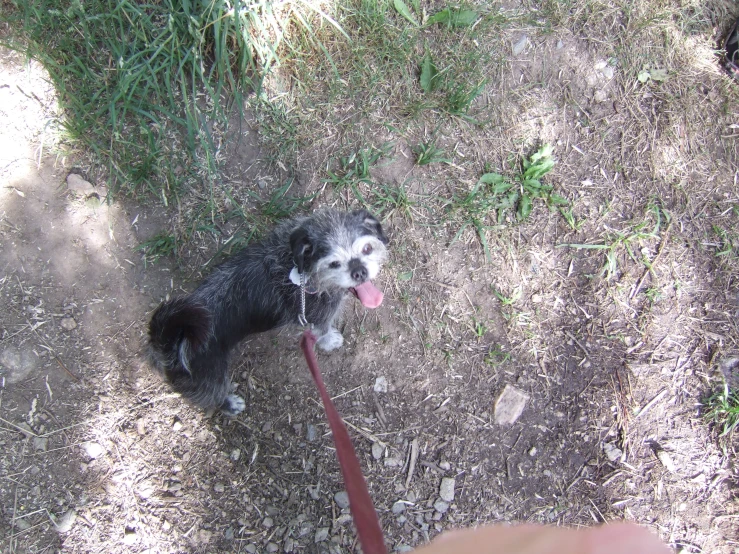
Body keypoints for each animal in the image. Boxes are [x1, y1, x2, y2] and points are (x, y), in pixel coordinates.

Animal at [145, 208, 388, 414]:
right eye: (334, 263)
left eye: (367, 248)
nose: (360, 272)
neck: (300, 268)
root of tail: (167, 345)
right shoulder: (317, 318)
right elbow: (323, 333)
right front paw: (331, 341)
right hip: (211, 380)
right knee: (213, 399)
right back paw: (230, 404)